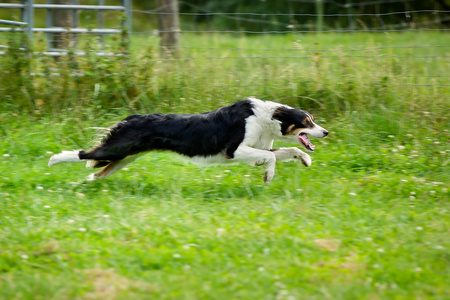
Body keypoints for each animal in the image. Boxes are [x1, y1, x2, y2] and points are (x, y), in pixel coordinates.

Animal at [49, 98, 328, 183]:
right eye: (307, 122)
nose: (326, 132)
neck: (265, 118)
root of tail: (131, 117)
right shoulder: (234, 151)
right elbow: (271, 157)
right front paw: (268, 176)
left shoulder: (254, 149)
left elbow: (288, 150)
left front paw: (305, 159)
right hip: (119, 148)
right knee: (84, 154)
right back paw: (53, 160)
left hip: (125, 156)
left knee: (98, 171)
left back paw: (85, 184)